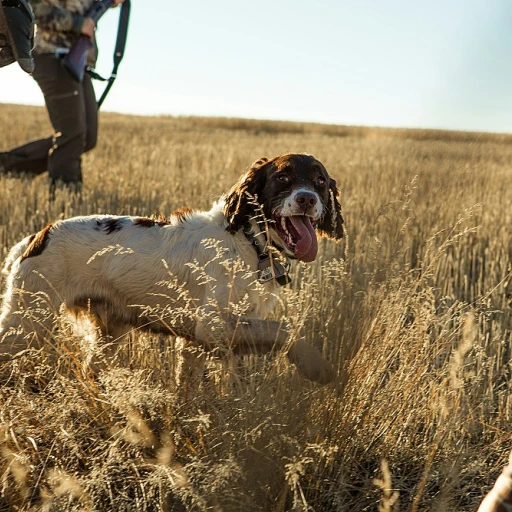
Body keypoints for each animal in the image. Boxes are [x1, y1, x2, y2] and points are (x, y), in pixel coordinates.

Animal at [1, 154, 344, 382]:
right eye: (282, 177)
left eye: (320, 181)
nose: (307, 199)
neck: (249, 242)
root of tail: (37, 237)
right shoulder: (212, 324)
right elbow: (283, 329)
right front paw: (316, 365)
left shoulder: (195, 341)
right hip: (26, 323)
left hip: (107, 332)